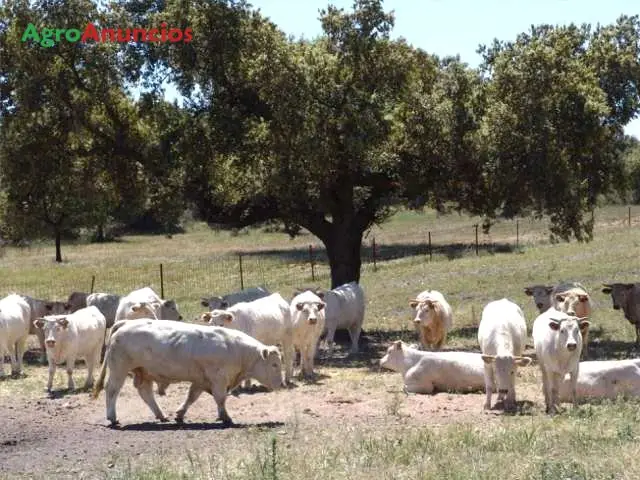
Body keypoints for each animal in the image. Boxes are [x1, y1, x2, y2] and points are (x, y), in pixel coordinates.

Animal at [91, 318, 282, 428]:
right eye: (274, 364)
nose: (281, 383)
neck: (236, 349)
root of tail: (125, 323)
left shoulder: (201, 380)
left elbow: (192, 397)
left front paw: (180, 414)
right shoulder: (218, 379)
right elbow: (220, 399)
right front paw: (226, 417)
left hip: (144, 372)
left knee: (145, 392)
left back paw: (161, 415)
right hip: (119, 369)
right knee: (112, 390)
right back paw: (112, 417)